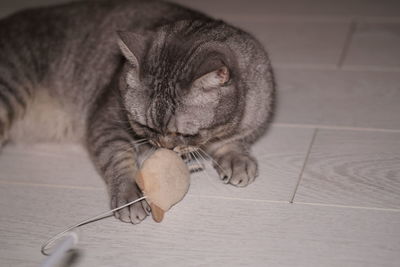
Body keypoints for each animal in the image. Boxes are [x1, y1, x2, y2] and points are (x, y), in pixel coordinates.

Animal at [0, 0, 276, 224]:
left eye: (183, 133)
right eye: (146, 127)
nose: (165, 147)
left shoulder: (256, 115)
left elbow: (234, 140)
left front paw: (236, 158)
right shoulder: (106, 120)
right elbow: (118, 155)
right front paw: (129, 193)